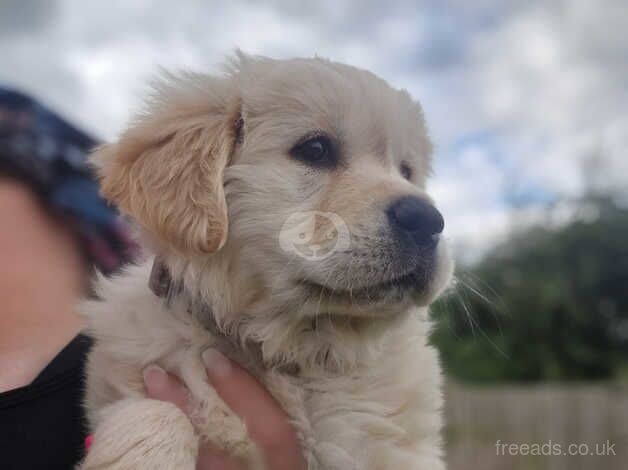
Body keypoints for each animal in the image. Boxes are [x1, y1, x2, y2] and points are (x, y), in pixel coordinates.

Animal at [79, 53, 452, 468]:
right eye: (315, 149)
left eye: (406, 171)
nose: (428, 221)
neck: (289, 348)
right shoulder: (124, 382)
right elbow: (158, 411)